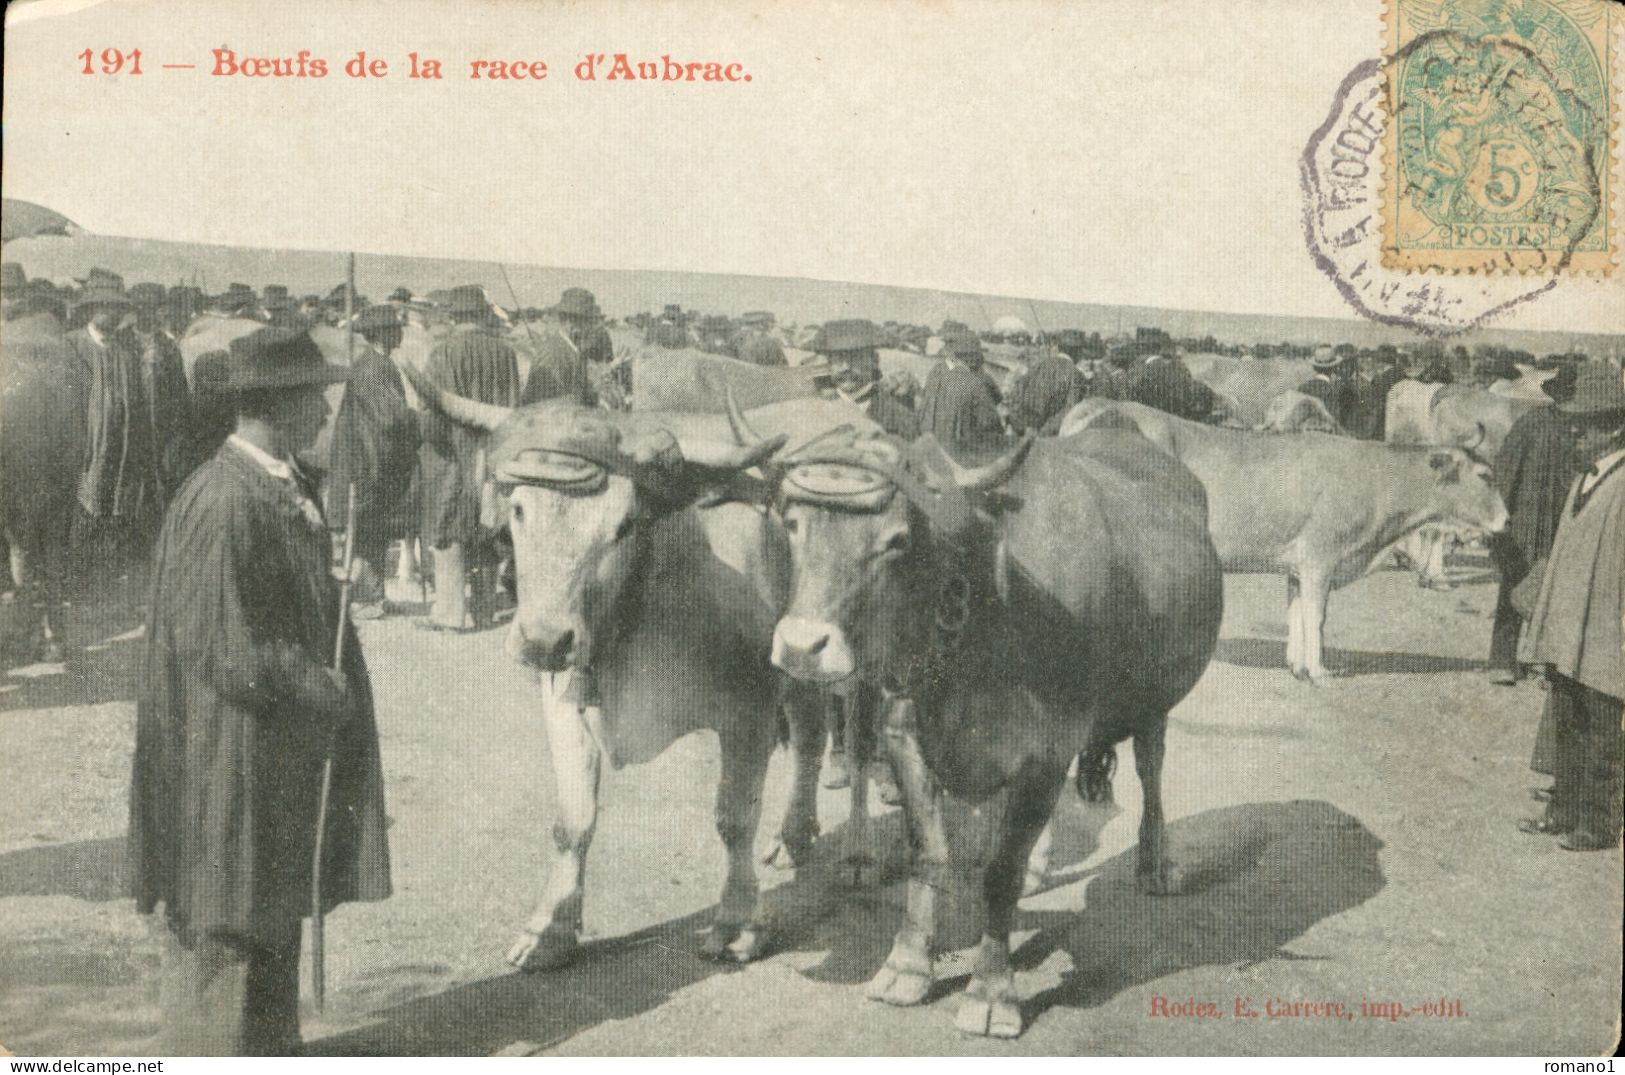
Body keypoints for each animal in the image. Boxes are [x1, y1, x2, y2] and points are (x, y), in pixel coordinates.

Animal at [757, 418, 1222, 1039]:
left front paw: (991, 992)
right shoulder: (906, 736)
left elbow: (1001, 874)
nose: (801, 646)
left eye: (897, 540)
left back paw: (1155, 863)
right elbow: (929, 855)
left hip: (1154, 700)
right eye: (793, 525)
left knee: (1151, 769)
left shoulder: (1047, 752)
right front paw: (906, 967)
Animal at [1059, 399, 1501, 685]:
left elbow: (1297, 613)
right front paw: (1319, 671)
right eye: (1484, 476)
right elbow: (1317, 616)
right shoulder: (1321, 557)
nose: (1506, 519)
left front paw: (1297, 665)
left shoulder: (1297, 564)